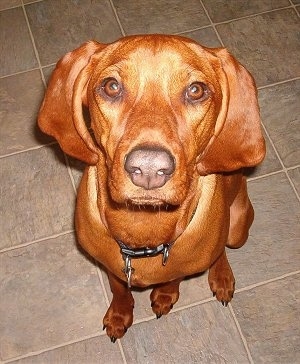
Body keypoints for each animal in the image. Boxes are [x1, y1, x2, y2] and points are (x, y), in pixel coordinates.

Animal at [37, 34, 264, 342]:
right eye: (111, 86)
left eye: (196, 90)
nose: (148, 169)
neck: (142, 225)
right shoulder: (112, 268)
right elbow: (120, 290)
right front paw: (120, 315)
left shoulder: (182, 265)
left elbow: (173, 278)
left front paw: (166, 295)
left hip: (237, 230)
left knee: (221, 252)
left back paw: (222, 276)